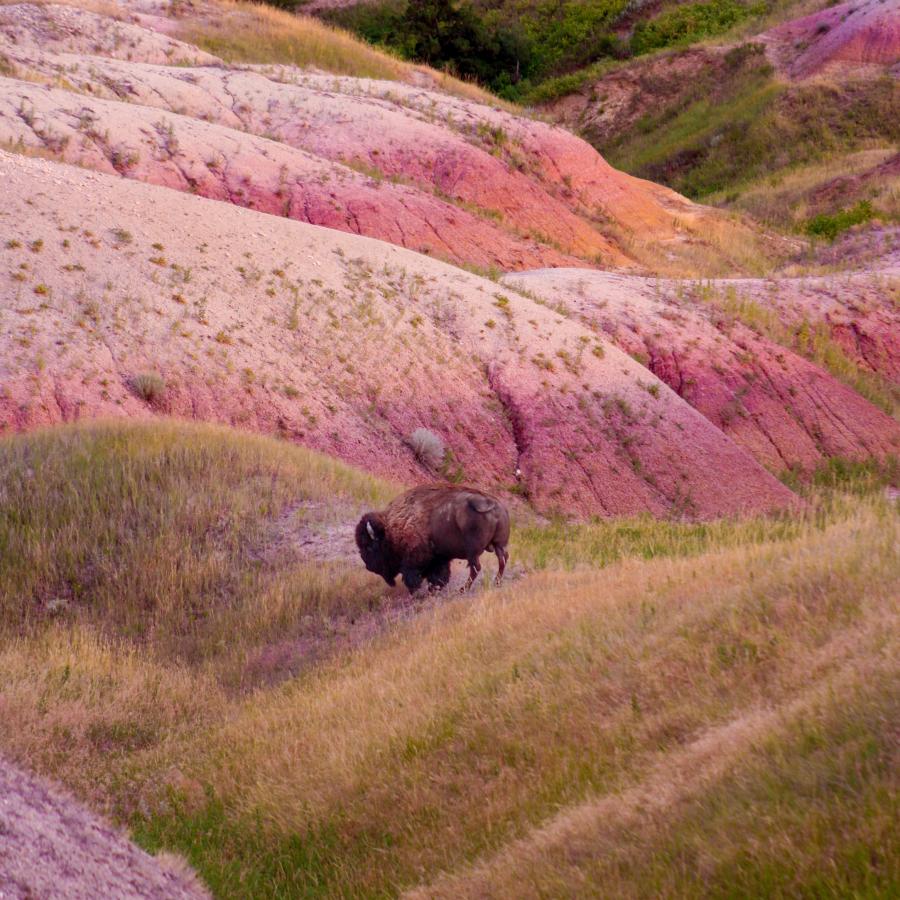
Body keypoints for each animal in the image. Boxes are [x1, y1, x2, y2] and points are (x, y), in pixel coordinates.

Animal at [355, 485, 510, 593]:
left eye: (369, 547)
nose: (368, 566)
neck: (391, 528)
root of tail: (493, 504)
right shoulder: (440, 558)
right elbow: (439, 575)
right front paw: (435, 588)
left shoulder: (415, 560)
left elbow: (414, 577)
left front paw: (418, 592)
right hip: (498, 544)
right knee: (502, 559)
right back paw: (496, 582)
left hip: (473, 551)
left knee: (476, 568)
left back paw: (462, 589)